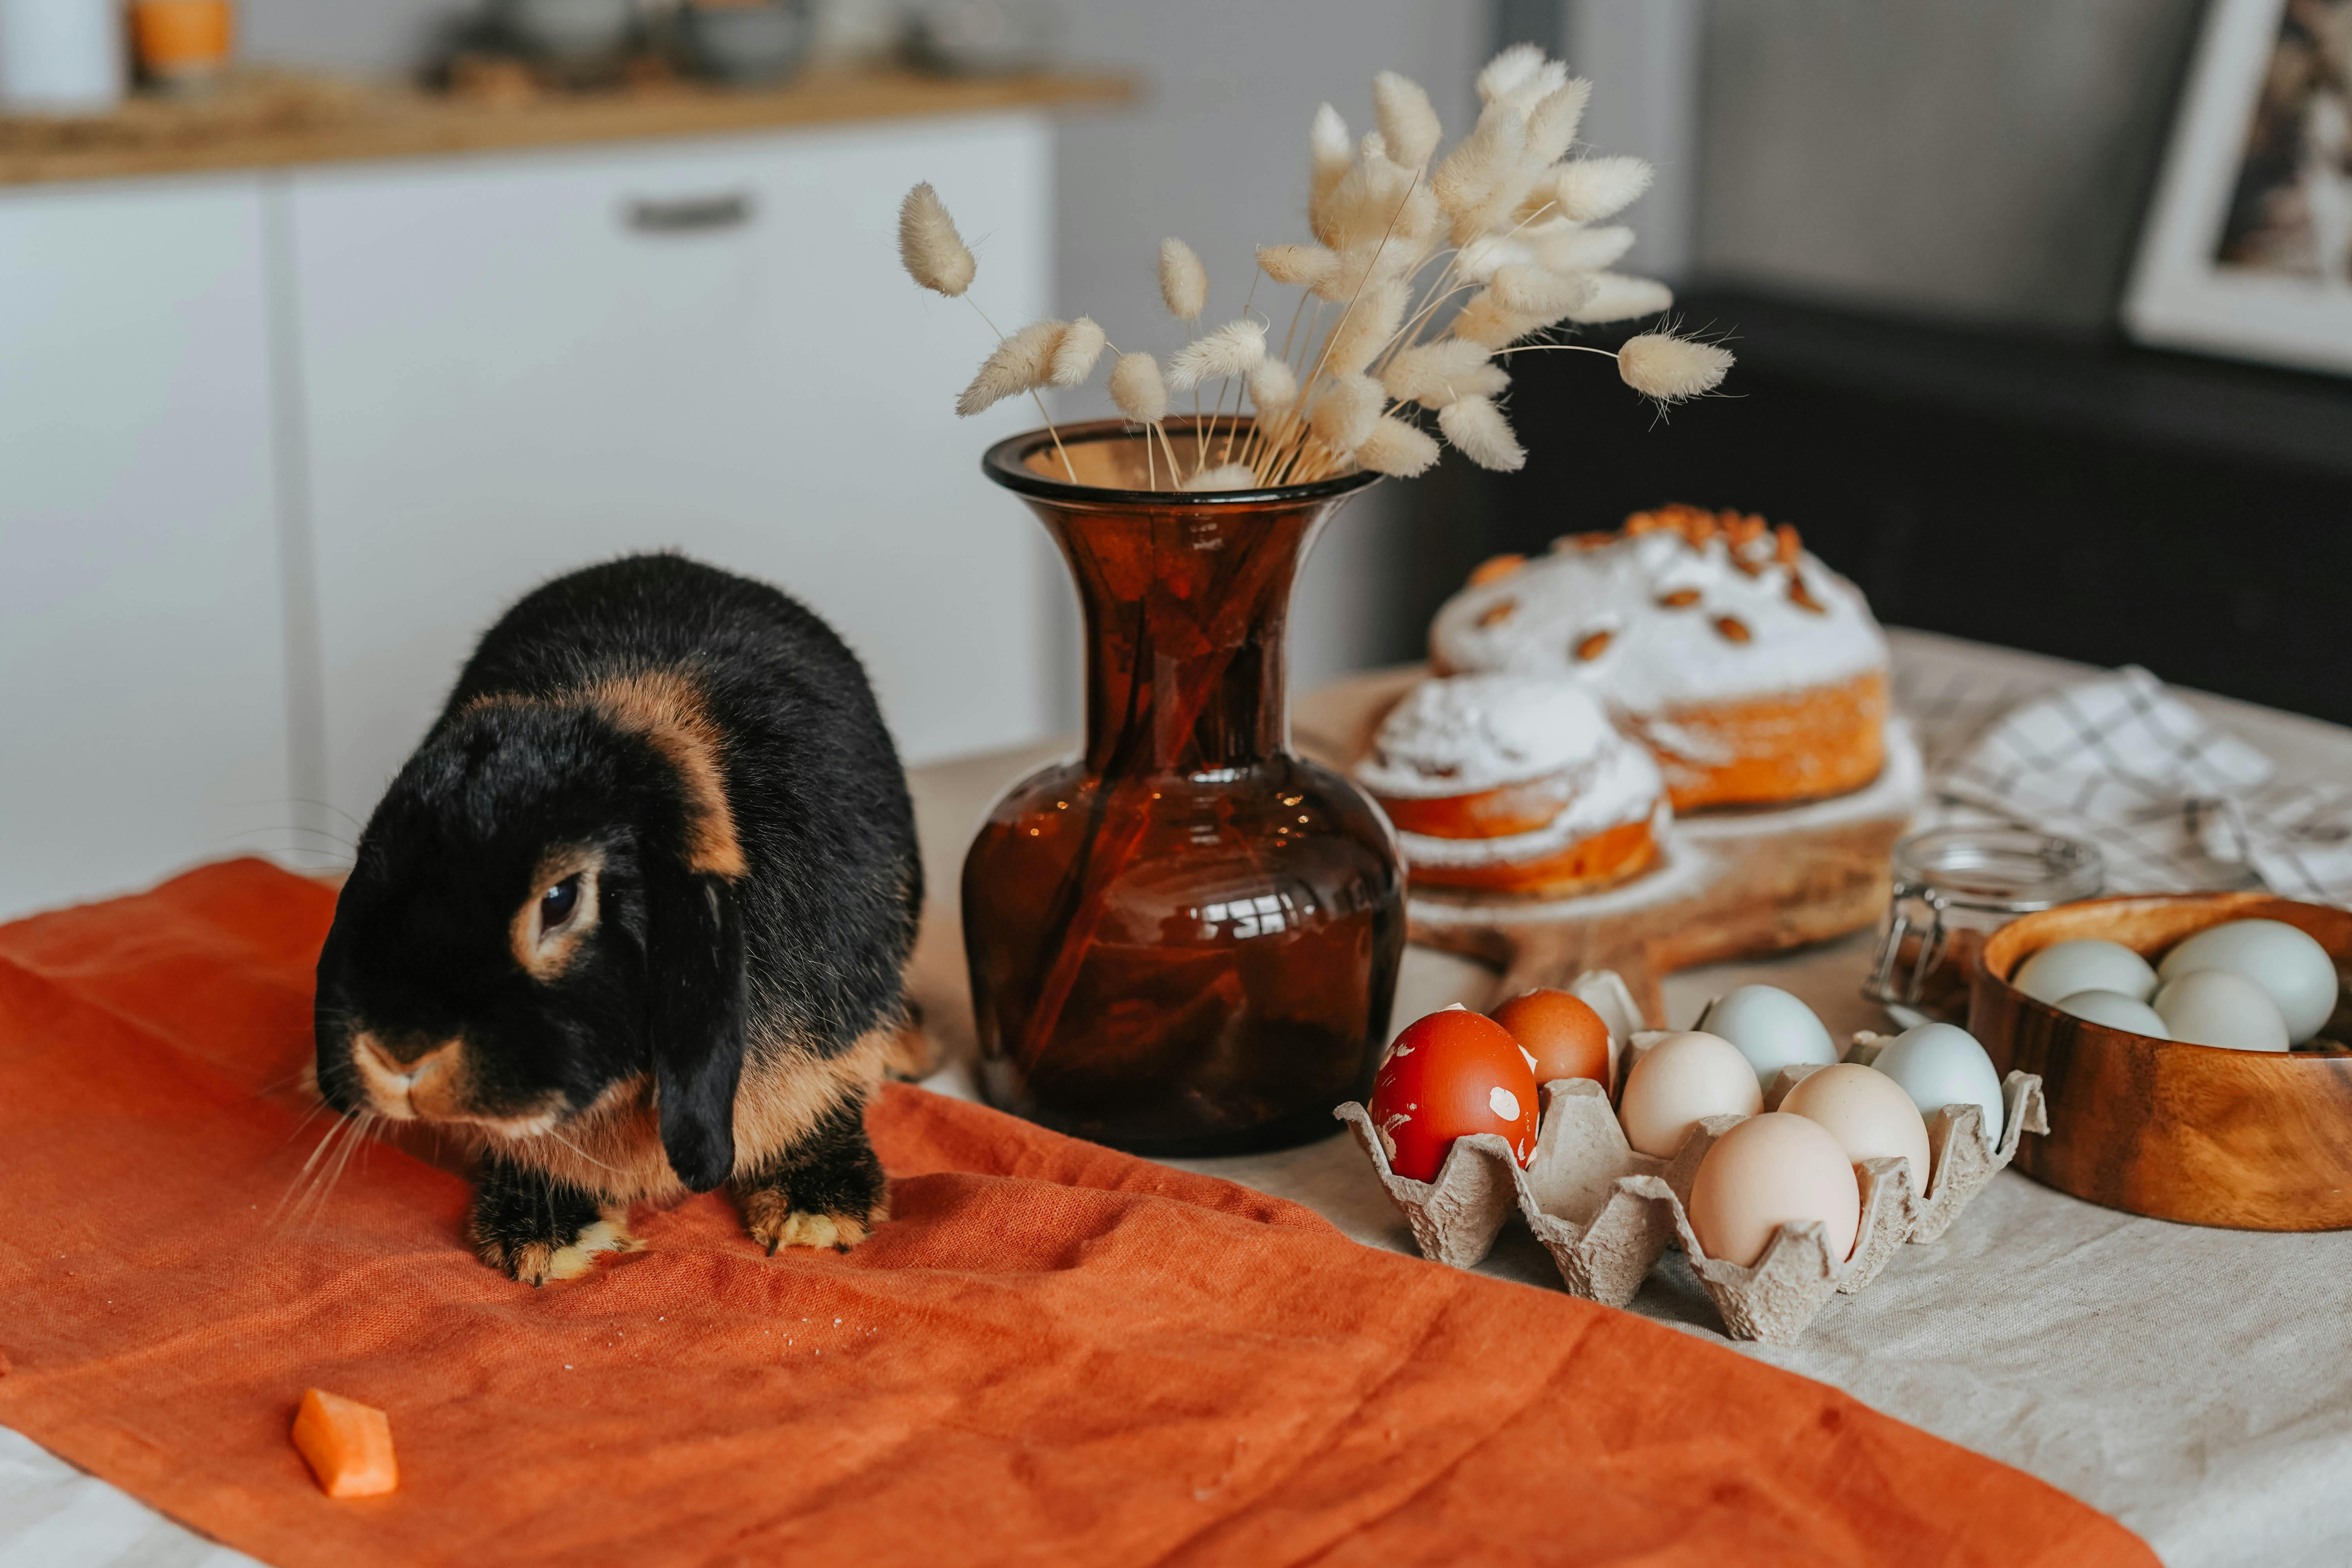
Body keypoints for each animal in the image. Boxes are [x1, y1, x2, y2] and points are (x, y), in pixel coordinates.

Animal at [318, 552, 922, 1288]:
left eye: (560, 901)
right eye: (374, 866)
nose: (399, 1052)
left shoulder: (836, 1037)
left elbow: (826, 1100)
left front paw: (818, 1216)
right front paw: (551, 1240)